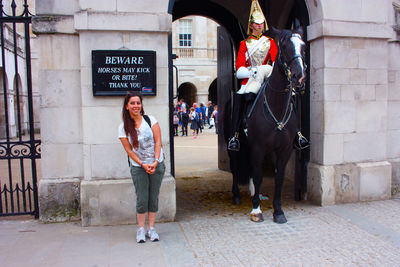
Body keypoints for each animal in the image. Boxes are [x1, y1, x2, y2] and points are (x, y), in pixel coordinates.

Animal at [227, 27, 308, 224]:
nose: (299, 76)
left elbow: (279, 178)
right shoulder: (258, 147)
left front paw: (278, 211)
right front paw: (256, 210)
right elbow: (258, 176)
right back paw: (237, 196)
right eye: (285, 47)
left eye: (303, 46)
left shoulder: (284, 149)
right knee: (234, 167)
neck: (276, 107)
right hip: (234, 145)